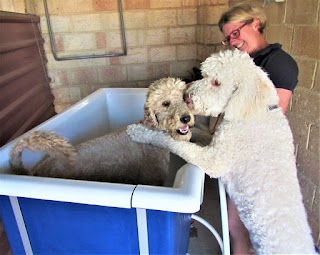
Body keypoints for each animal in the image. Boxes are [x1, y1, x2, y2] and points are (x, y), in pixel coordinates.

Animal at [10, 77, 195, 185]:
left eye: (184, 97)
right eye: (165, 103)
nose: (186, 118)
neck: (151, 131)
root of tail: (33, 172)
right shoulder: (152, 179)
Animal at [129, 49, 316, 253]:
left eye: (216, 82)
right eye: (204, 75)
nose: (186, 95)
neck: (255, 113)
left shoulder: (213, 160)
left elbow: (174, 143)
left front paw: (141, 132)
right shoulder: (214, 142)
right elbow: (198, 134)